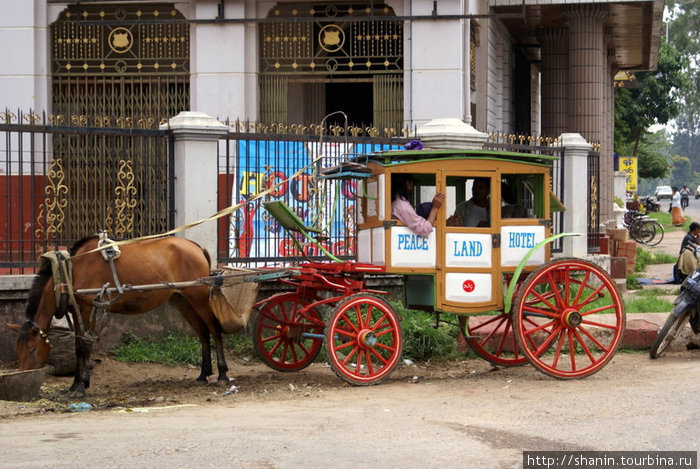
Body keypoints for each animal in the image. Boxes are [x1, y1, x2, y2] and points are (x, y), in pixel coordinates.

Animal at [6, 234, 230, 394]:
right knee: (202, 332)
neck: (69, 272)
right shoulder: (77, 310)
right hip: (181, 300)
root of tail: (196, 247)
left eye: (33, 349)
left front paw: (81, 386)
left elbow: (85, 347)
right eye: (17, 349)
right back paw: (204, 373)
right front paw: (76, 384)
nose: (23, 375)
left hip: (199, 296)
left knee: (214, 329)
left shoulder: (89, 308)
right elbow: (78, 346)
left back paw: (222, 373)